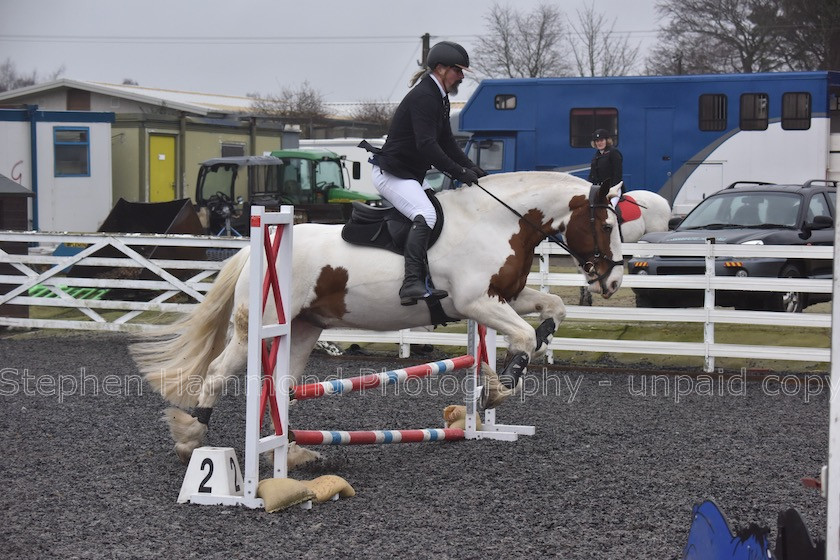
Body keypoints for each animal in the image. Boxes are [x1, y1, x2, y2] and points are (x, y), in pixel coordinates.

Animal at [131, 171, 624, 464]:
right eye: (605, 225)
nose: (613, 282)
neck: (496, 222)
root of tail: (254, 250)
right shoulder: (477, 303)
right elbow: (521, 339)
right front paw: (496, 391)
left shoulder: (505, 296)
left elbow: (552, 311)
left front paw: (497, 379)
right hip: (259, 327)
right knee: (218, 372)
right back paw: (191, 437)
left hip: (304, 329)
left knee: (284, 385)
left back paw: (289, 453)